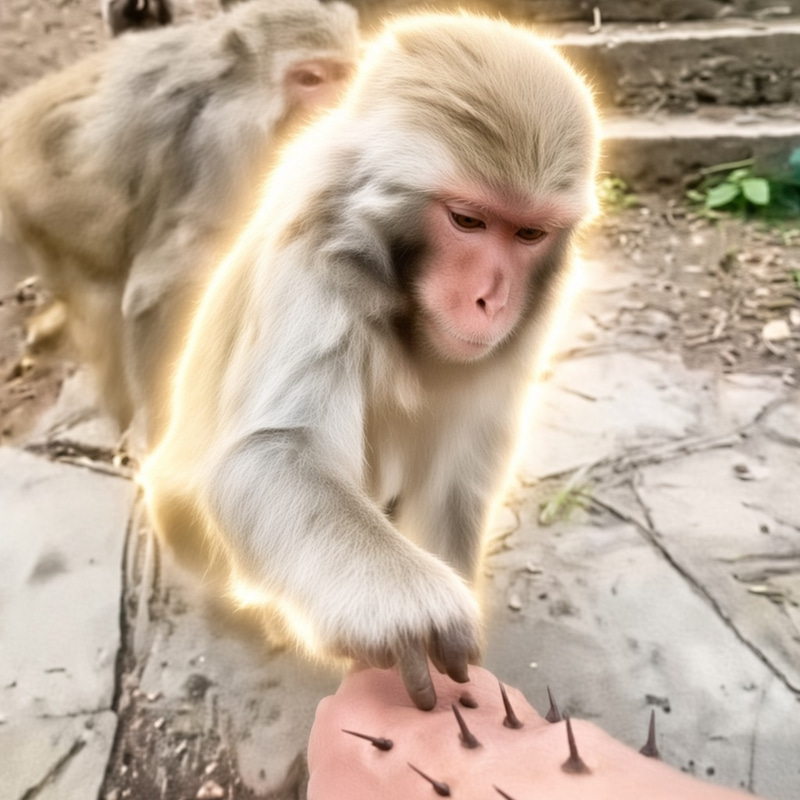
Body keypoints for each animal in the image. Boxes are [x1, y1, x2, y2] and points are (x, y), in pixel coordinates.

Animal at [0, 0, 359, 443]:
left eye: (342, 74)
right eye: (310, 79)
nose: (333, 107)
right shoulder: (225, 144)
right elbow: (165, 284)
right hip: (41, 200)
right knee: (104, 291)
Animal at [142, 13, 599, 711]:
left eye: (529, 234)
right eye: (467, 220)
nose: (491, 300)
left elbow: (456, 477)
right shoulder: (315, 253)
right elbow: (272, 453)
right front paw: (416, 613)